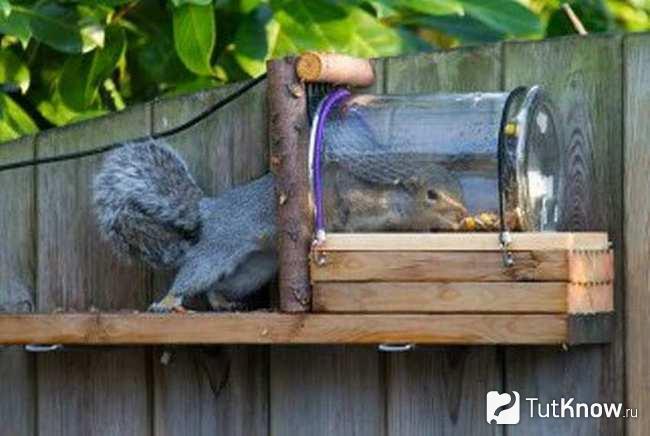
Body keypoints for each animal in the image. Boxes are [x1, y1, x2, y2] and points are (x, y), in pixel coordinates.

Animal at [93, 139, 277, 312]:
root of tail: (209, 208)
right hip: (222, 245)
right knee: (196, 271)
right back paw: (167, 301)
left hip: (260, 264)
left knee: (222, 284)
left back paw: (220, 301)